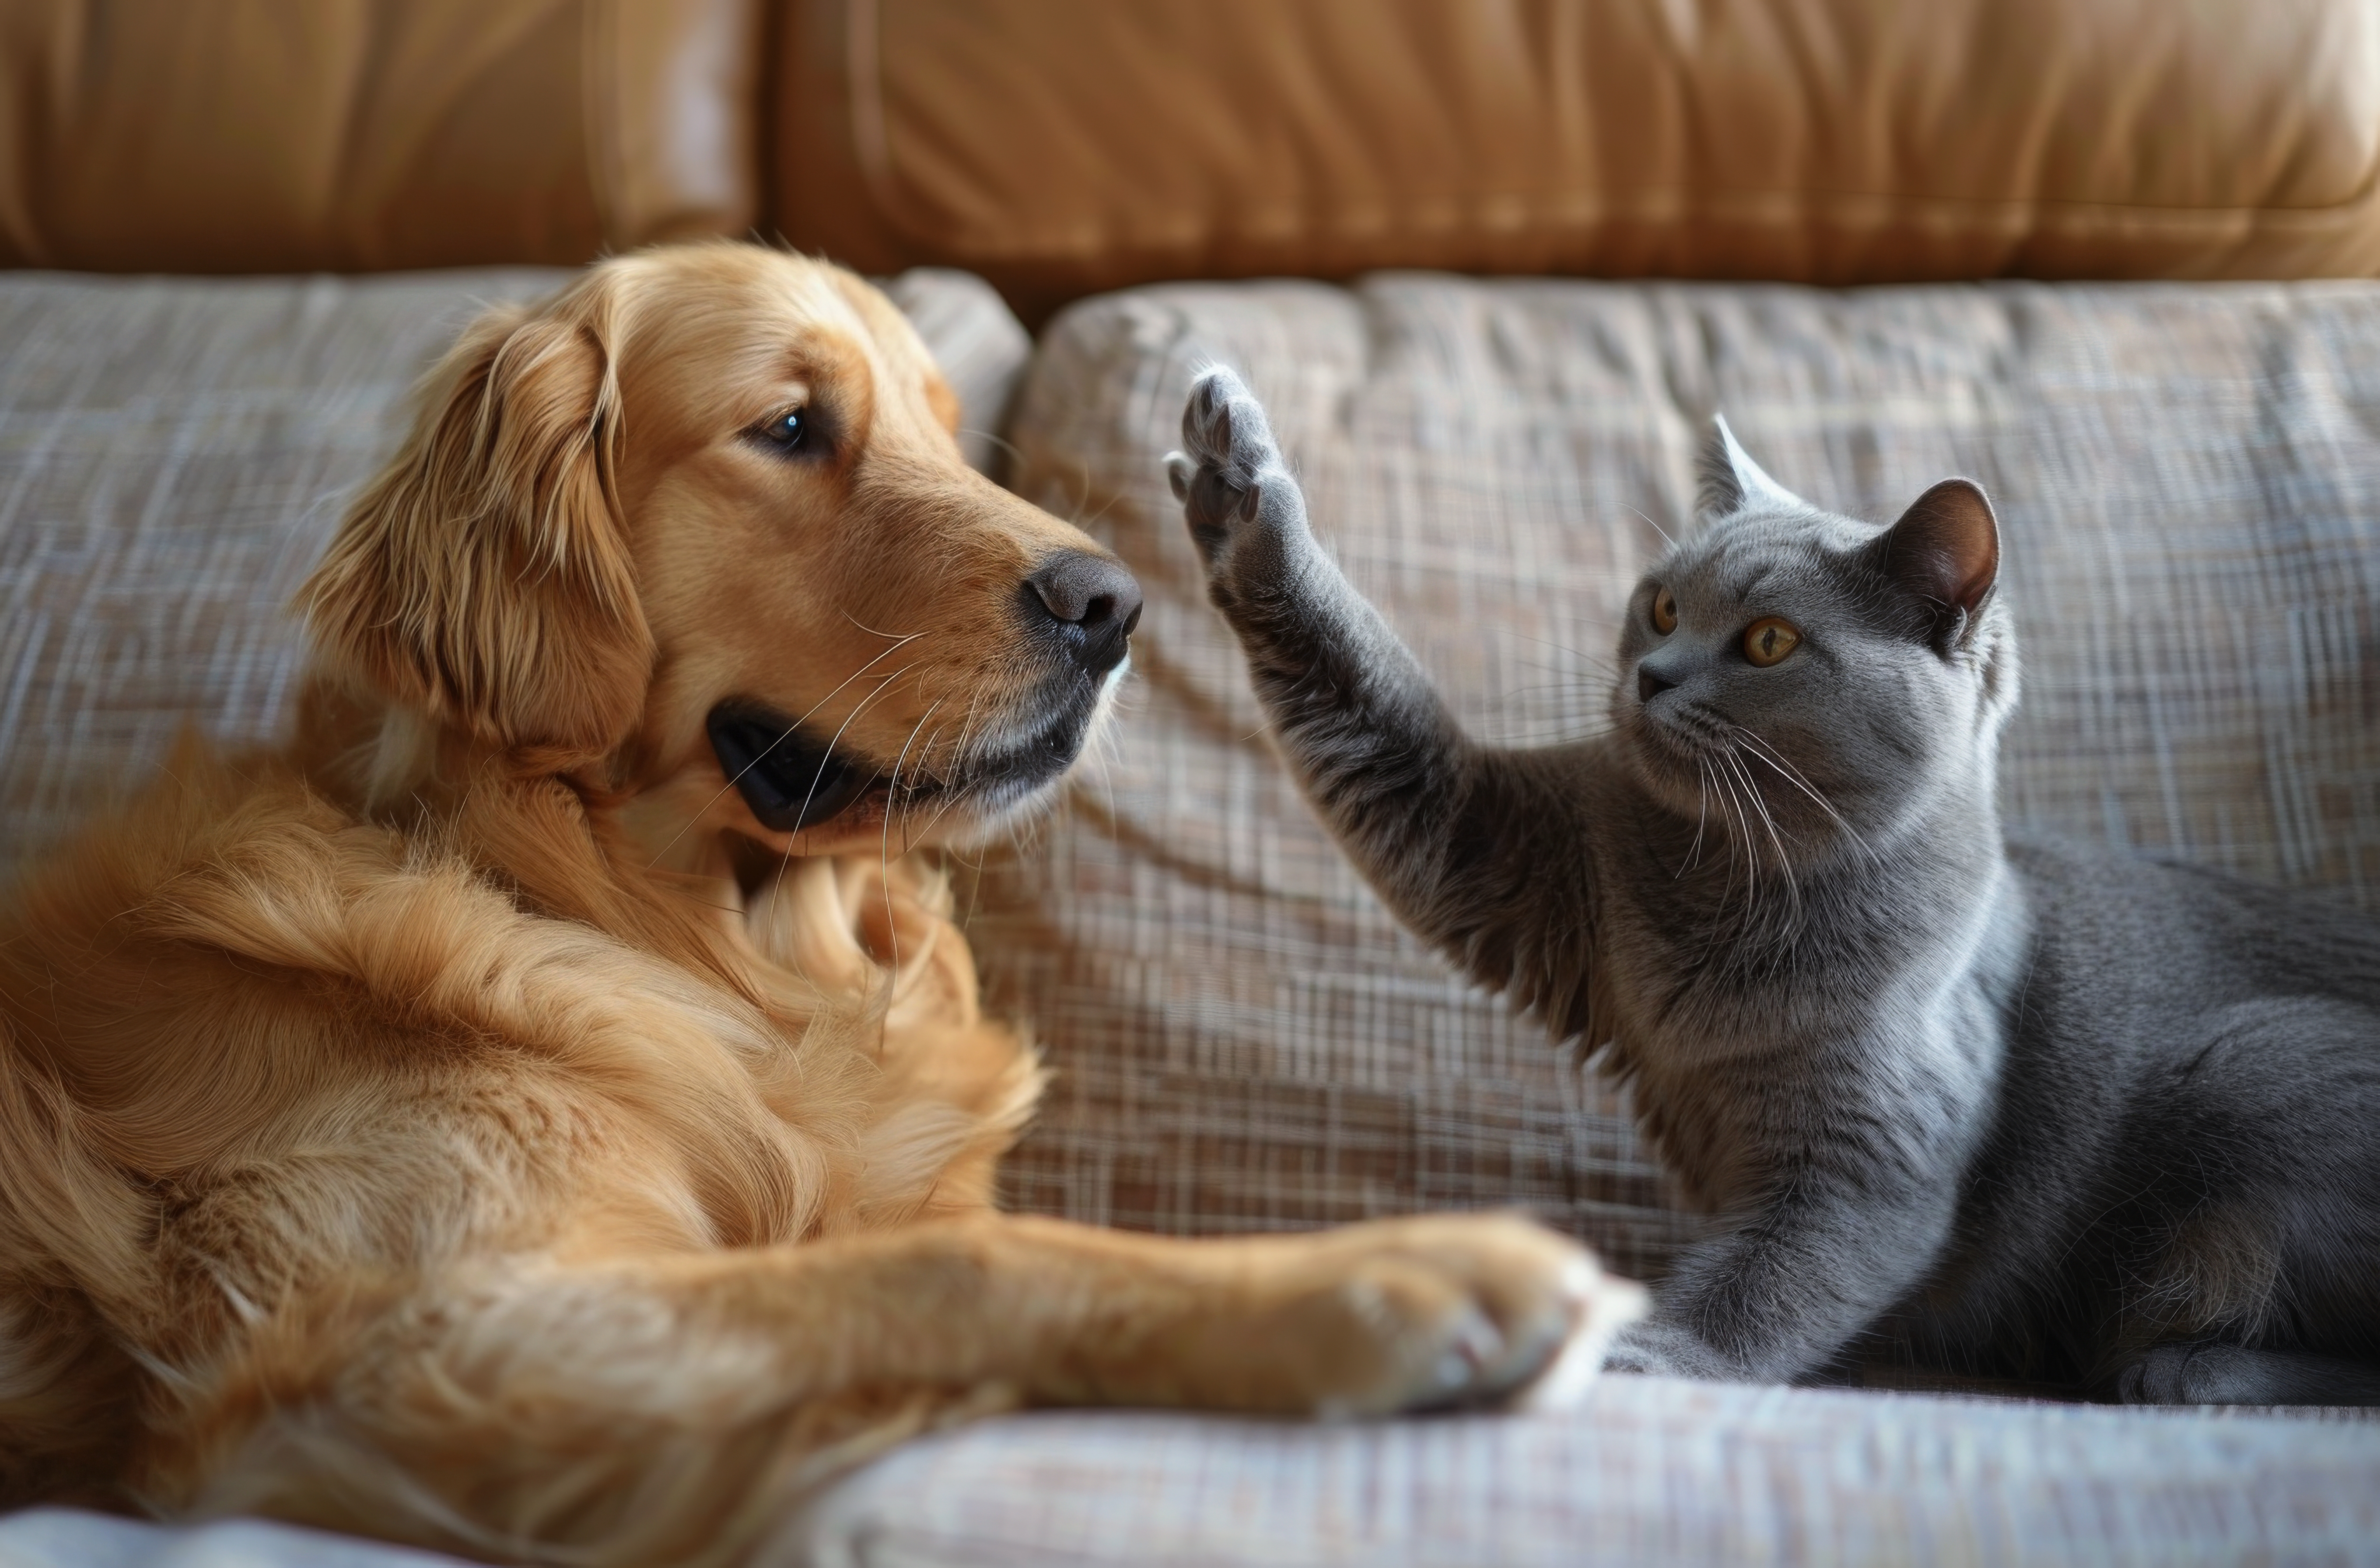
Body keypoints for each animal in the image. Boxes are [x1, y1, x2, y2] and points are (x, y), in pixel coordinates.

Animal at [0, 245, 1628, 1568]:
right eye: (789, 428)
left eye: (945, 435)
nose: (1115, 605)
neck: (711, 955)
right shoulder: (382, 1352)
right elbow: (957, 1257)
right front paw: (1396, 1277)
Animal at [1161, 371, 2380, 1408]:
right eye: (1660, 609)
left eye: (1766, 641)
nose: (1651, 675)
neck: (1730, 882)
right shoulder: (1516, 850)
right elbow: (1378, 718)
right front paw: (1235, 494)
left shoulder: (1874, 1145)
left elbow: (1782, 1275)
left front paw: (1648, 1350)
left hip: (2249, 1068)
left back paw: (2189, 1368)